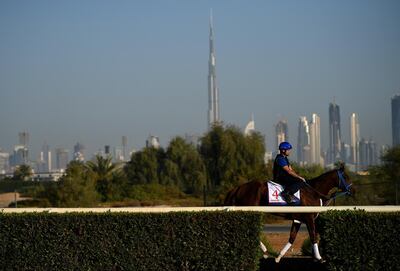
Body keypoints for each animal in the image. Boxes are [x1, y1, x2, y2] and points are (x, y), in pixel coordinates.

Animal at [225, 165, 354, 264]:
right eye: (346, 177)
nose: (351, 190)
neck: (313, 191)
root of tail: (238, 188)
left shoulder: (298, 220)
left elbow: (292, 237)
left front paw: (278, 257)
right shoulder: (309, 218)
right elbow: (313, 236)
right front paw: (319, 258)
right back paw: (265, 250)